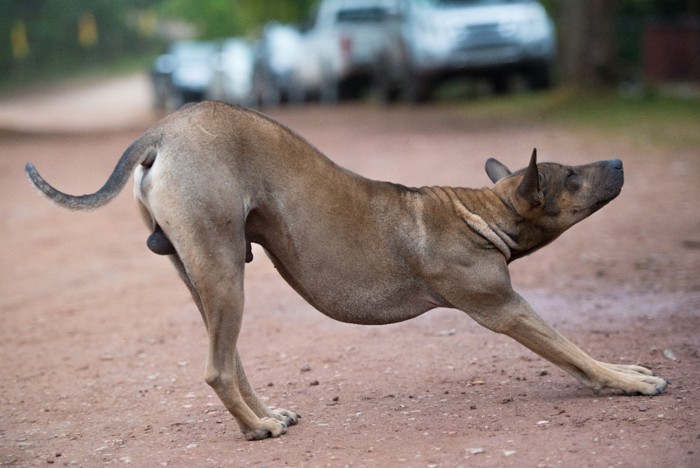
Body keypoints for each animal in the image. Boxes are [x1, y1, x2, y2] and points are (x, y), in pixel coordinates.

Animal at [26, 100, 668, 440]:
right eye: (573, 178)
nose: (617, 160)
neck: (481, 211)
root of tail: (163, 130)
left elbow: (578, 351)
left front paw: (627, 370)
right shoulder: (504, 309)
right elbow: (571, 349)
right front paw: (628, 382)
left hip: (203, 277)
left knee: (229, 359)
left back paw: (265, 415)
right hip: (224, 274)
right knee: (215, 369)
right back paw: (257, 429)